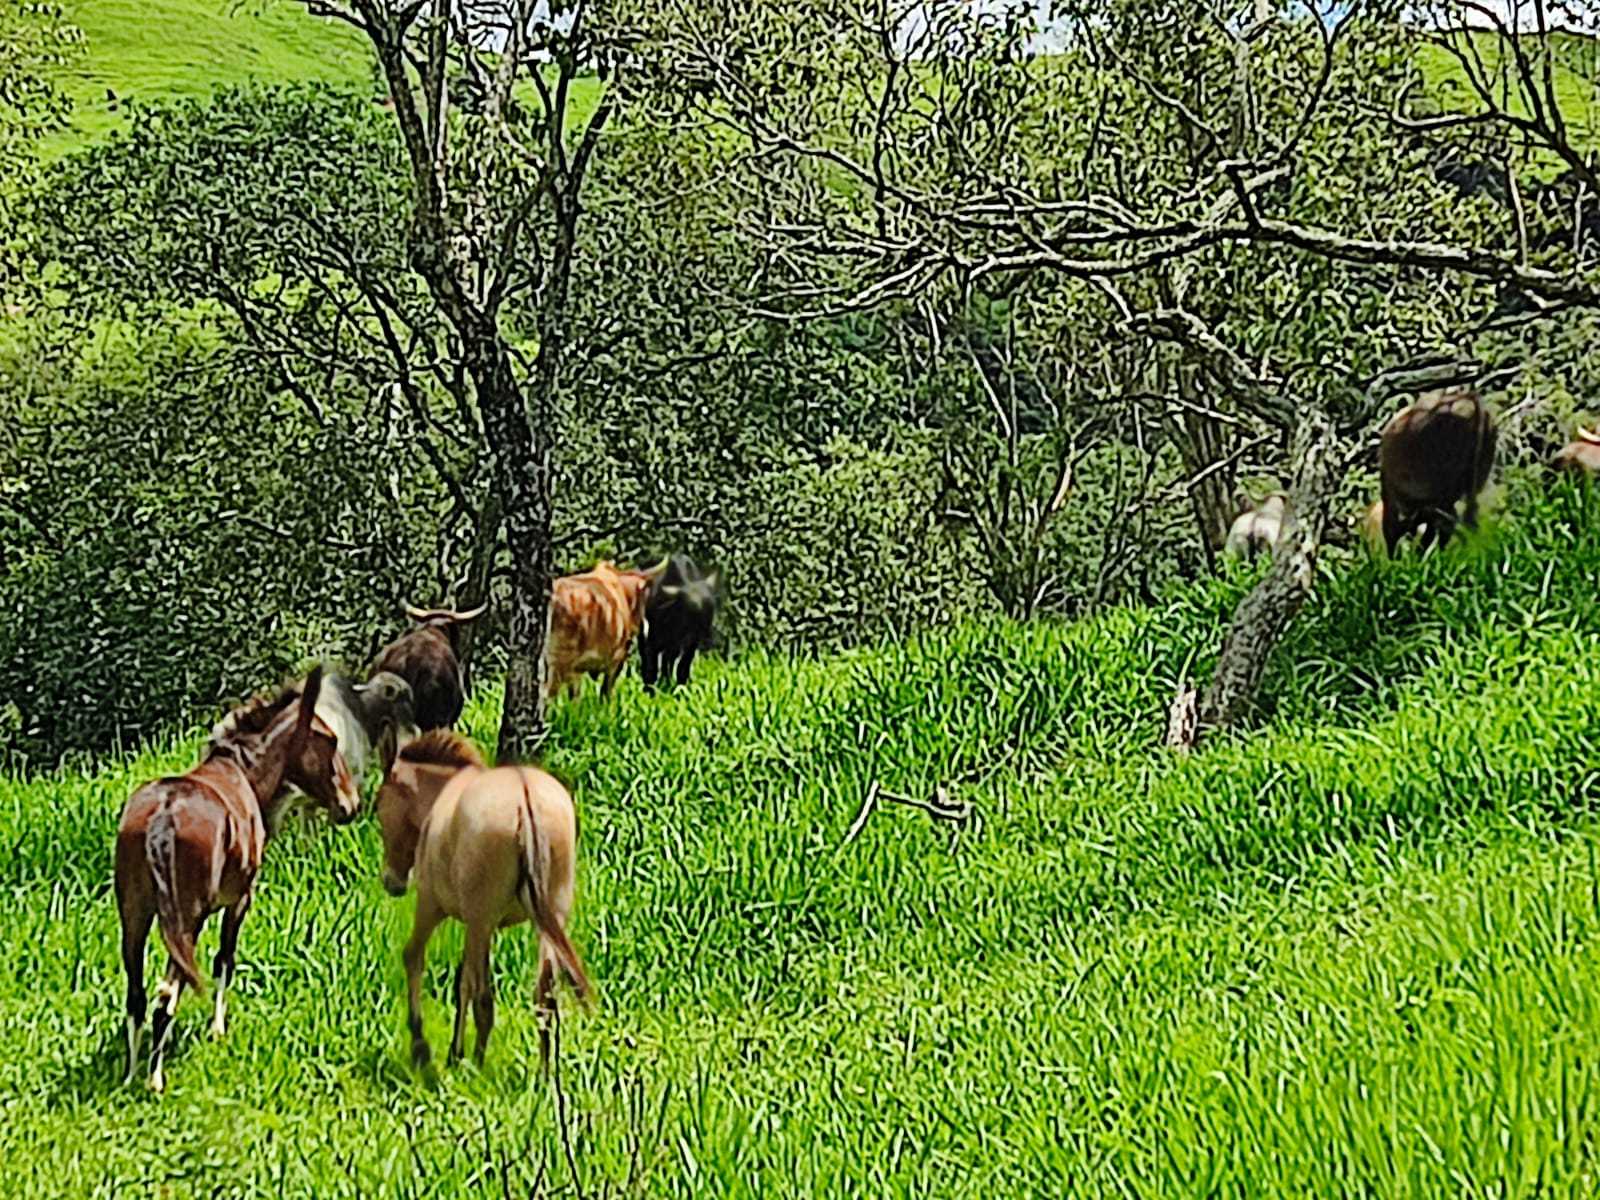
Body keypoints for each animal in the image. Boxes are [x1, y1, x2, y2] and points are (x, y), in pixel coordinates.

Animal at [114, 672, 358, 1094]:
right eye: (328, 741)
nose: (350, 803)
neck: (243, 774)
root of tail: (161, 820)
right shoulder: (240, 899)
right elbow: (224, 962)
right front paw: (217, 1028)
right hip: (185, 921)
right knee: (166, 995)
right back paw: (154, 1078)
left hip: (134, 917)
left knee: (137, 996)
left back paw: (131, 1074)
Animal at [372, 732, 588, 1068]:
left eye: (378, 806)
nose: (391, 882)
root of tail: (525, 800)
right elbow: (464, 980)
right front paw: (454, 1050)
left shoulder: (433, 907)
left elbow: (418, 960)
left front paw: (425, 1046)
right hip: (549, 920)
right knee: (544, 995)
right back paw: (545, 1073)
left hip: (481, 920)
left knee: (485, 998)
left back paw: (478, 1065)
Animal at [640, 556, 723, 691]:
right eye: (690, 612)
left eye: (710, 610)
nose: (708, 639)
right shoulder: (653, 641)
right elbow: (651, 668)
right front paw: (649, 689)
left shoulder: (688, 645)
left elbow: (681, 667)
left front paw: (680, 687)